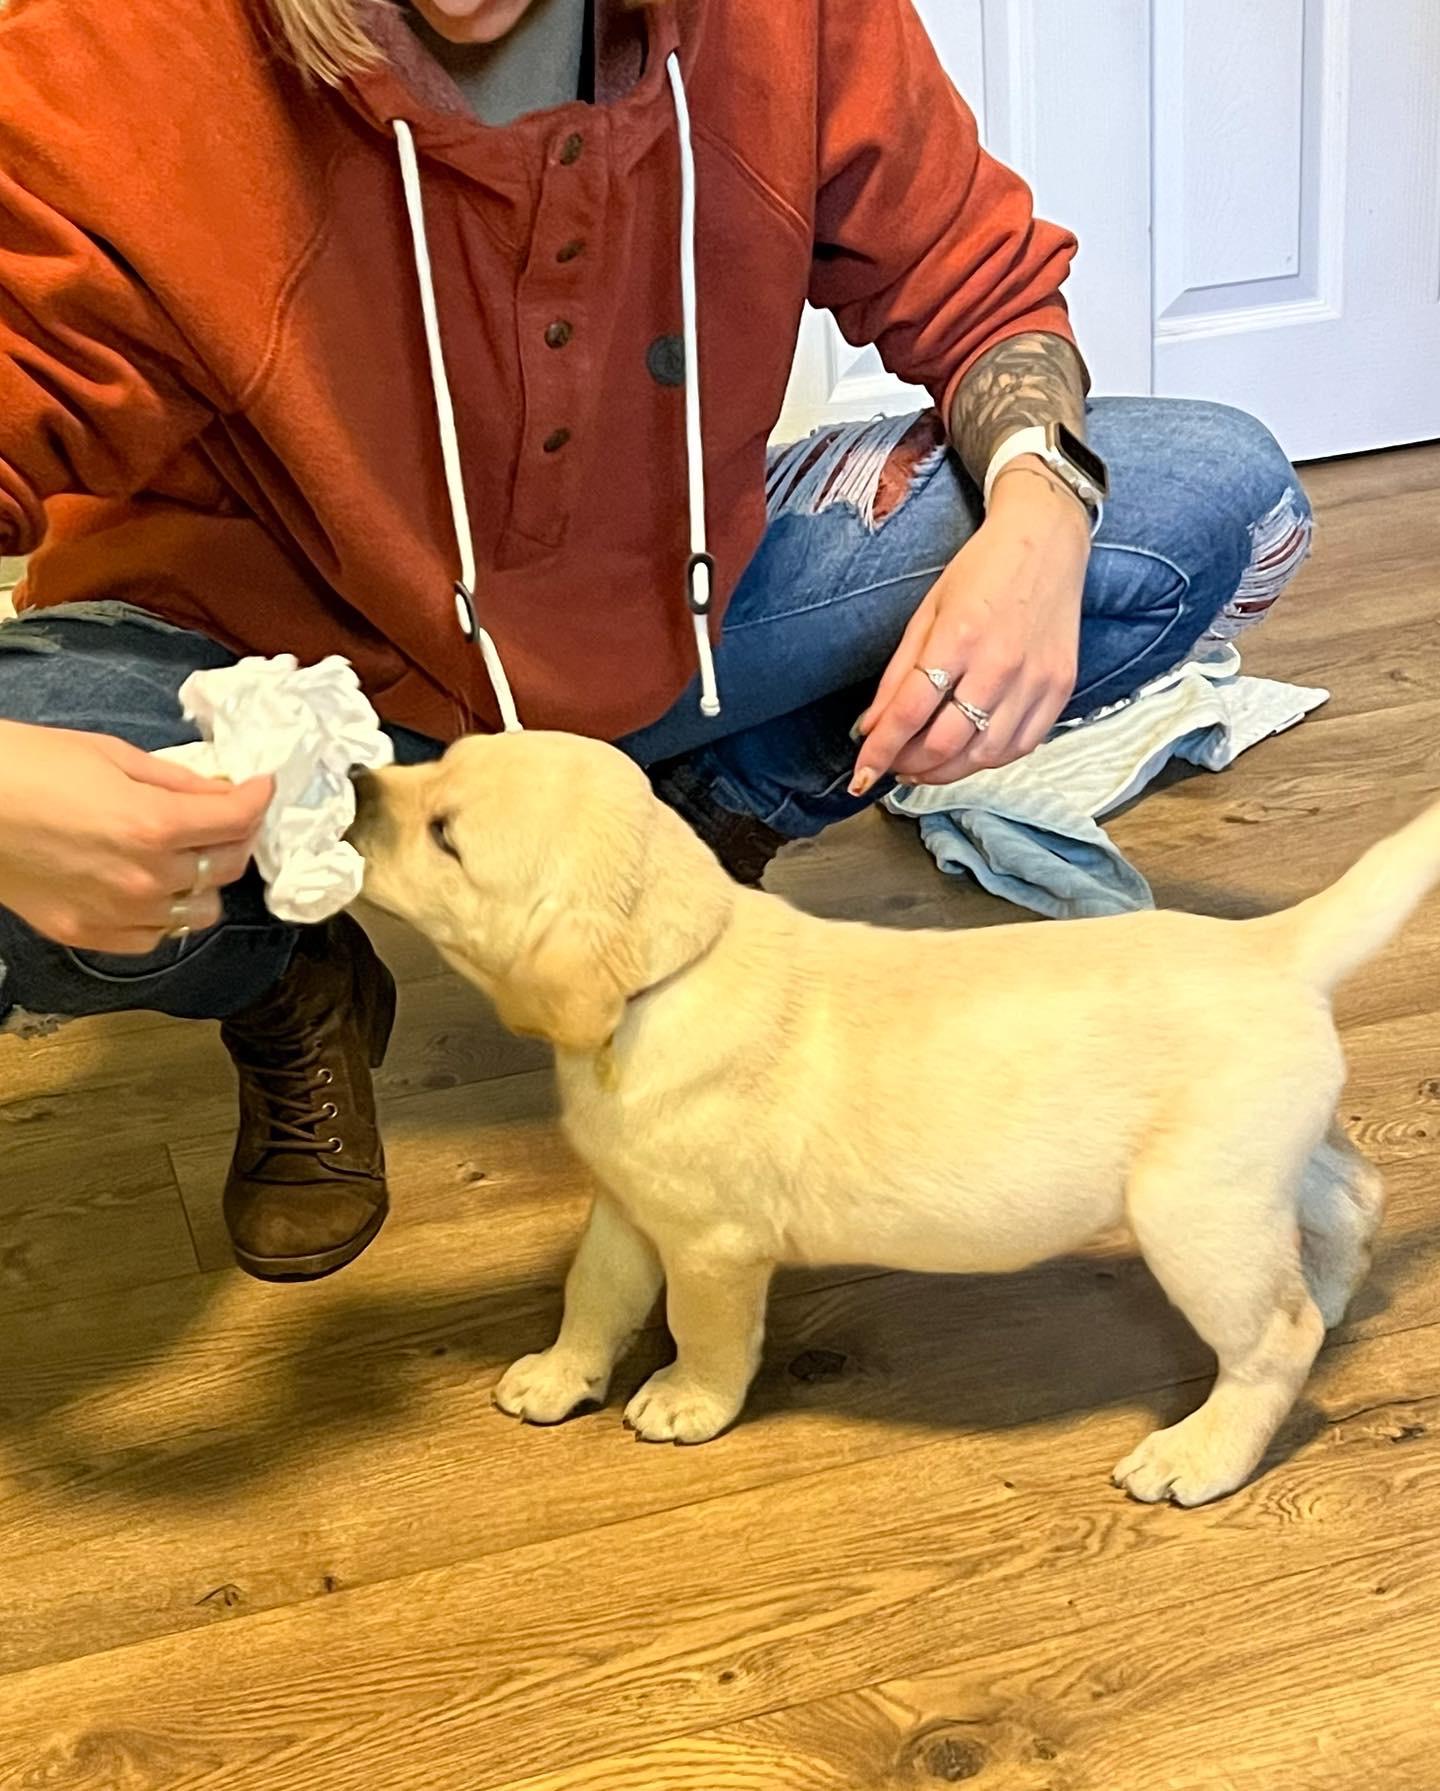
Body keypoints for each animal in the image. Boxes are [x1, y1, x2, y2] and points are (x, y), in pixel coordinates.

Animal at [349, 730, 1420, 1506]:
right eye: (439, 759)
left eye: (445, 834)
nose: (355, 781)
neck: (671, 975)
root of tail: (1271, 948)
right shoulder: (627, 1203)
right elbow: (595, 1293)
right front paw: (560, 1374)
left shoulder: (711, 1242)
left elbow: (703, 1328)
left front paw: (688, 1402)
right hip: (1264, 1163)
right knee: (1353, 1199)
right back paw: (1333, 1298)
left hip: (1194, 1210)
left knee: (1273, 1337)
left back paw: (1201, 1453)